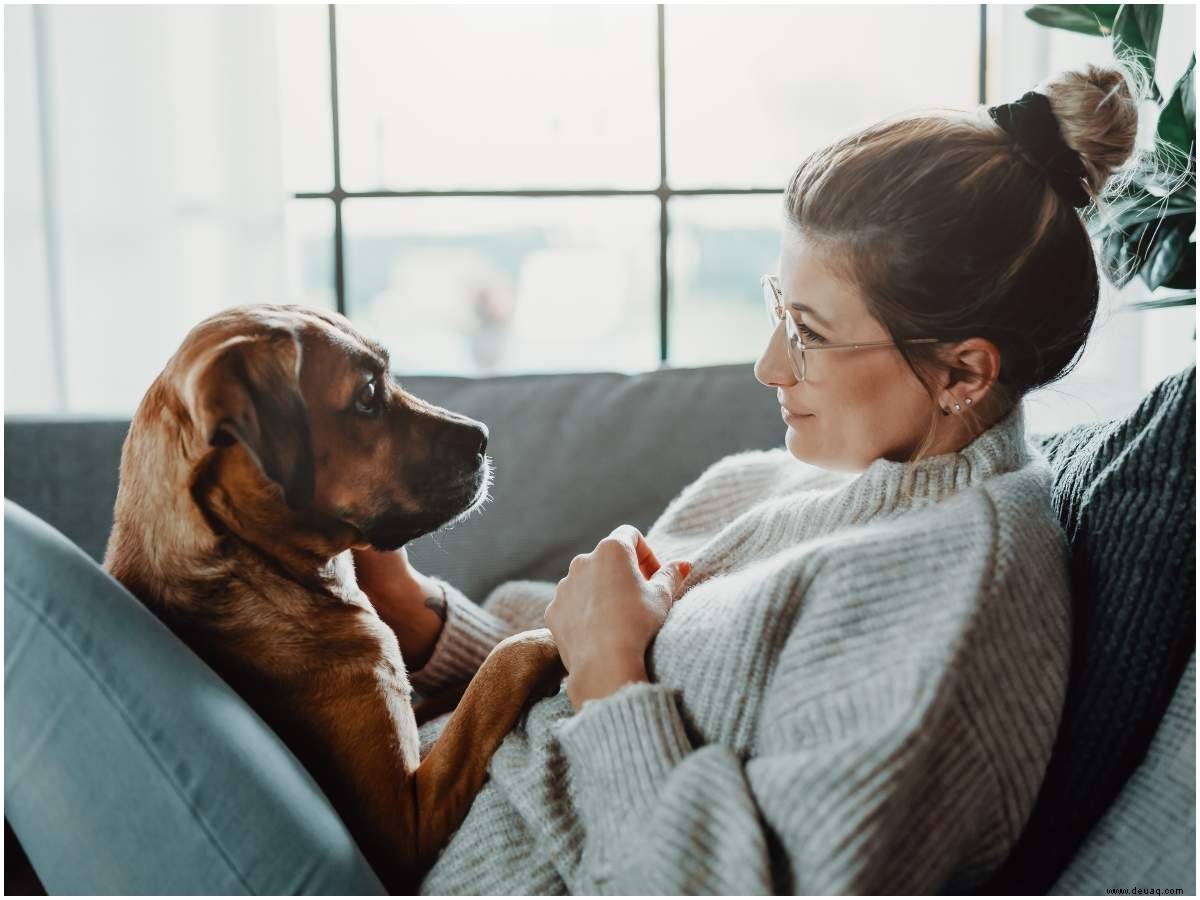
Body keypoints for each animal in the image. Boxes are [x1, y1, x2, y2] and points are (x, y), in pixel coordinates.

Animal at [102, 304, 561, 897]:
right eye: (367, 395)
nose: (484, 436)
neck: (255, 568)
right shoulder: (405, 825)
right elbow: (499, 671)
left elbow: (462, 689)